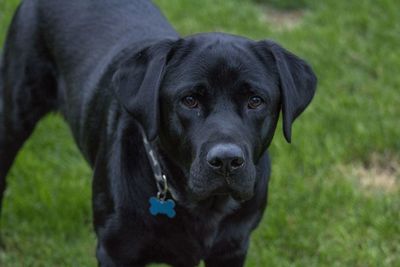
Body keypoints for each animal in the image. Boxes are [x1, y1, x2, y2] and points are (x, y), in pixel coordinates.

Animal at [0, 1, 318, 266]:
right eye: (189, 100)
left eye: (255, 101)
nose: (226, 160)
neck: (201, 207)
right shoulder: (116, 250)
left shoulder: (233, 248)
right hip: (15, 111)